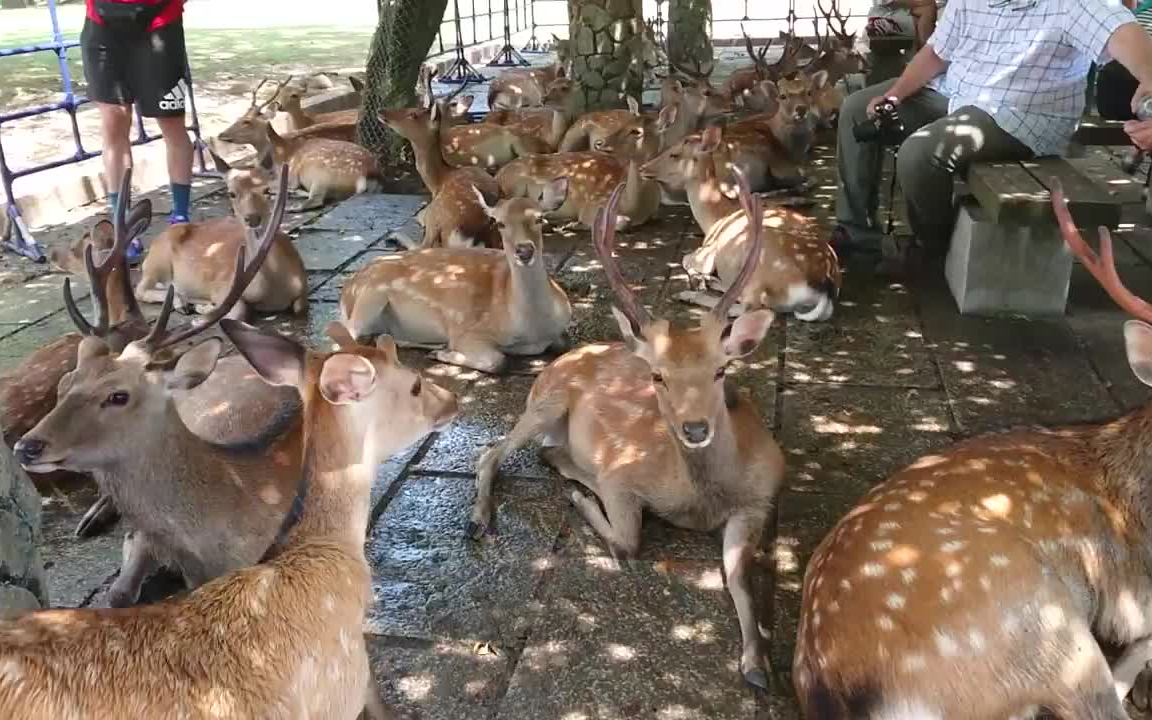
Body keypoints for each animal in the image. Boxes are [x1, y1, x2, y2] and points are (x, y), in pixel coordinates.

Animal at [340, 177, 576, 373]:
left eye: (540, 219)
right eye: (499, 223)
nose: (524, 250)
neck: (532, 328)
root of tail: (346, 294)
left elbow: (564, 343)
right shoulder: (468, 331)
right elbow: (498, 361)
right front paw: (444, 353)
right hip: (370, 297)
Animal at [467, 173, 783, 691]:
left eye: (721, 371)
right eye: (657, 376)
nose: (695, 427)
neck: (704, 498)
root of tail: (561, 358)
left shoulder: (759, 502)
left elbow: (739, 577)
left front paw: (756, 663)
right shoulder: (622, 474)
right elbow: (628, 541)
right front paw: (582, 503)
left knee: (540, 452)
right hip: (545, 403)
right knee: (492, 452)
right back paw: (485, 516)